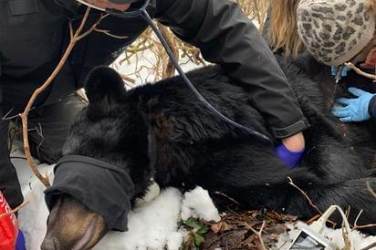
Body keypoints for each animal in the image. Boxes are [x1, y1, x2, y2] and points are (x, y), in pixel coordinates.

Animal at [40, 57, 376, 250]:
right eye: (57, 170)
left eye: (91, 155)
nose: (50, 243)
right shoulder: (215, 175)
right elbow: (293, 188)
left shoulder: (277, 106)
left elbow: (326, 147)